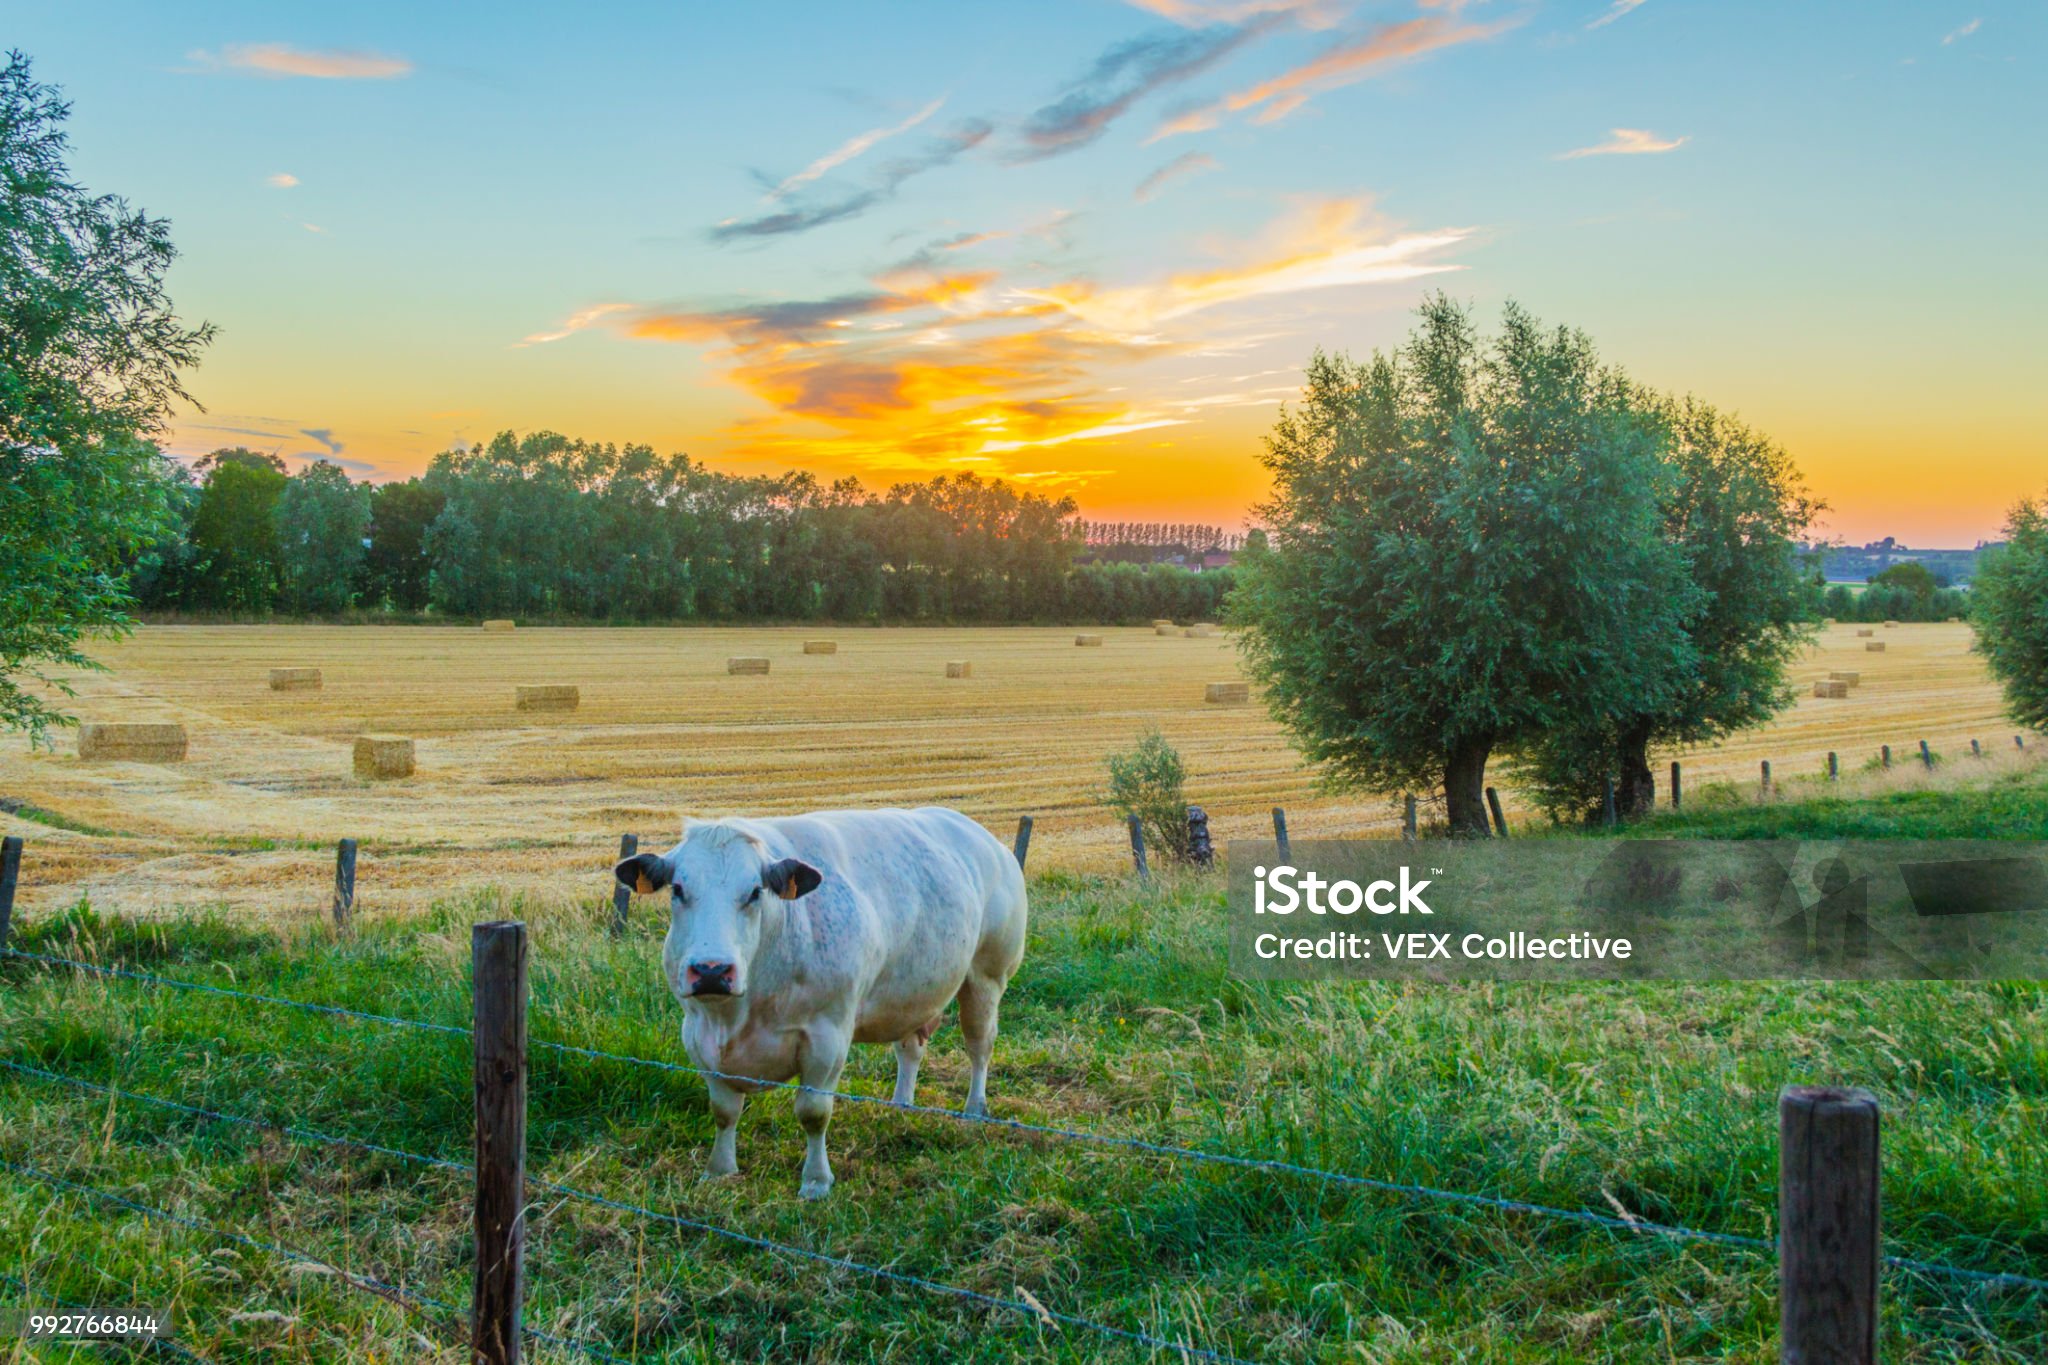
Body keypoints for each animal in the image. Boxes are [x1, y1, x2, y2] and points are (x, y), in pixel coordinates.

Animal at [606, 806, 1024, 1203]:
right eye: (678, 889)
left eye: (755, 892)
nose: (712, 970)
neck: (738, 1015)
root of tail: (990, 842)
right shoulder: (696, 1033)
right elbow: (724, 1111)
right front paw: (719, 1170)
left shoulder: (827, 1037)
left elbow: (813, 1113)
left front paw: (816, 1181)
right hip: (908, 995)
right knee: (910, 1048)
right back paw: (900, 1104)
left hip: (987, 976)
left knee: (980, 1046)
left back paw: (974, 1108)